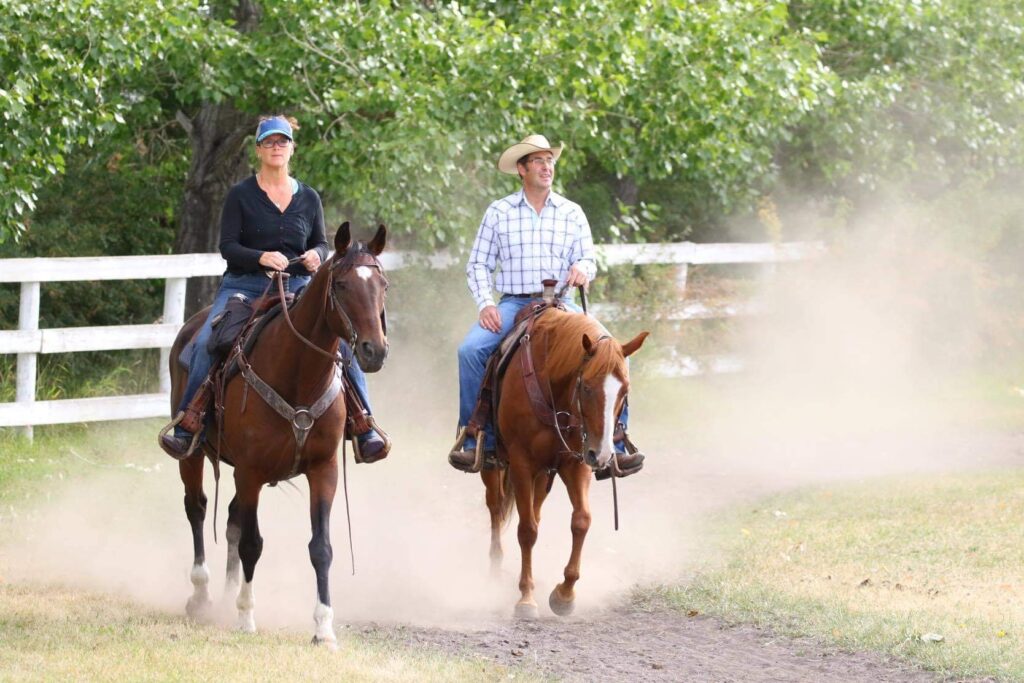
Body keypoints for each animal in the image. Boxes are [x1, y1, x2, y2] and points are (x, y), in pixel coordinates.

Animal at [163, 223, 387, 647]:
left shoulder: (324, 469)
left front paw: (323, 629)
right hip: (193, 454)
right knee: (196, 507)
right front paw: (246, 616)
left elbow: (321, 548)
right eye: (342, 285)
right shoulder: (250, 471)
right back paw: (201, 595)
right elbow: (252, 543)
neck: (298, 374)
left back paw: (225, 596)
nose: (374, 351)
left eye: (383, 284)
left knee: (230, 519)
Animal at [481, 307, 643, 618]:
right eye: (587, 387)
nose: (603, 454)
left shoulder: (576, 463)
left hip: (545, 474)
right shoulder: (521, 463)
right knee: (495, 508)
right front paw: (526, 598)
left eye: (624, 391)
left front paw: (564, 594)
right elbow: (527, 530)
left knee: (534, 511)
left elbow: (581, 521)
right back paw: (494, 572)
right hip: (495, 466)